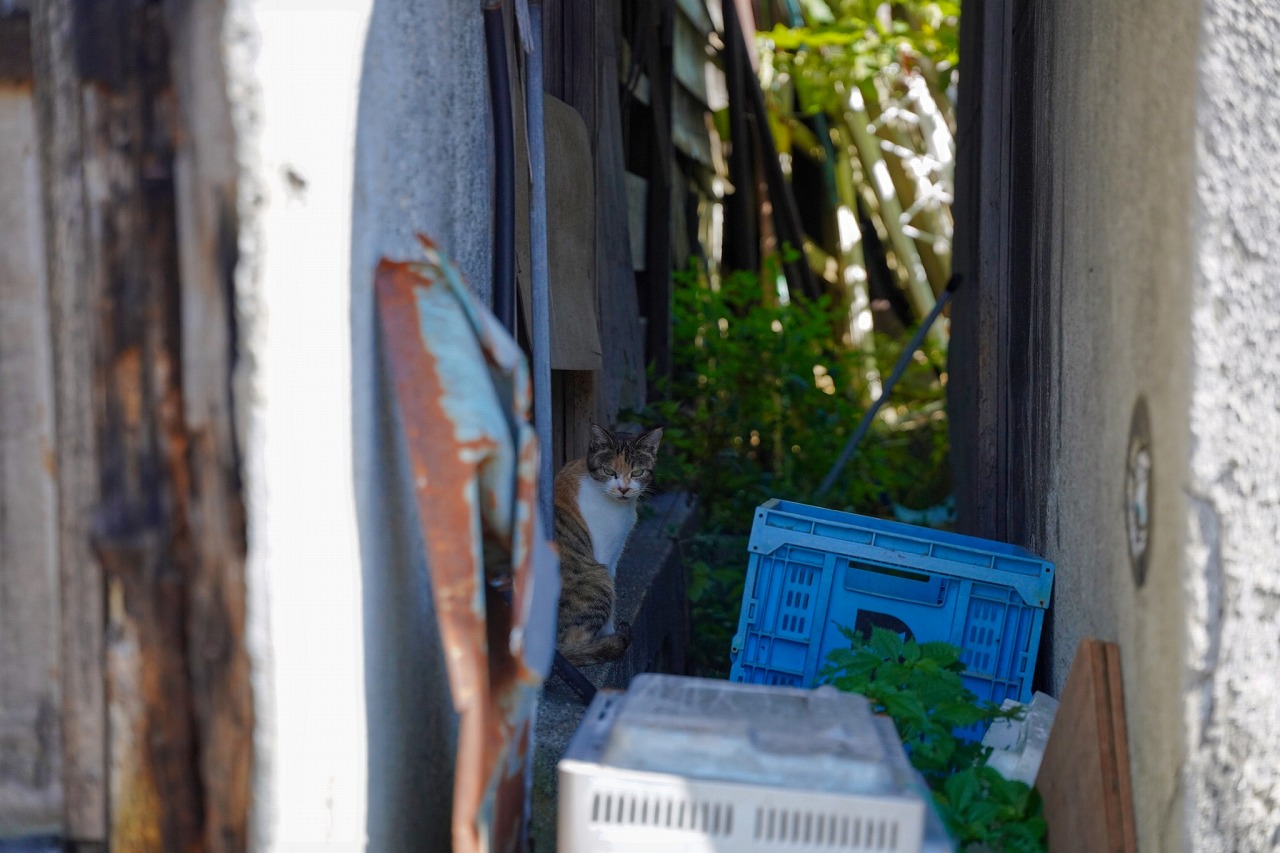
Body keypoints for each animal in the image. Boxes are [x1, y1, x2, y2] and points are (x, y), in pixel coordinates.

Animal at [555, 422, 665, 666]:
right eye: (609, 472)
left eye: (637, 472)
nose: (623, 488)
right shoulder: (607, 557)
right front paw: (610, 633)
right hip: (598, 577)